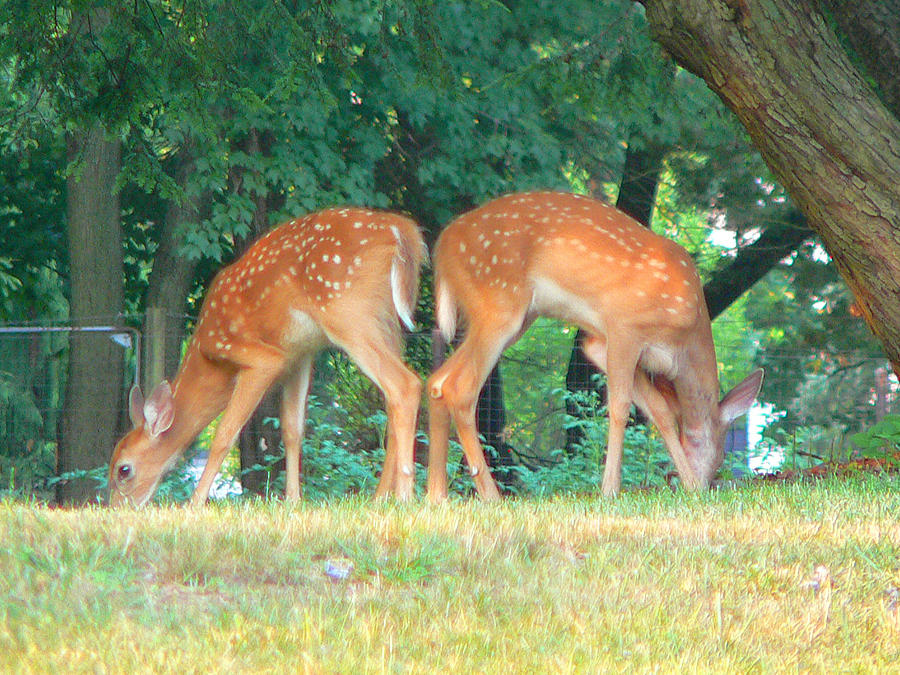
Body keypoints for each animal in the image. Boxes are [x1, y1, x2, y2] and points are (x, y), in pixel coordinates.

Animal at [108, 209, 426, 504]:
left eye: (124, 470)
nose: (118, 507)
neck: (209, 356)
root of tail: (401, 230)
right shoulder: (300, 355)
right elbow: (292, 430)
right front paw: (293, 500)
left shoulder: (261, 357)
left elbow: (225, 433)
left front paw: (195, 502)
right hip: (387, 323)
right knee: (390, 397)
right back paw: (380, 497)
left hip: (347, 312)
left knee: (405, 384)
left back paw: (404, 497)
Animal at [426, 191, 764, 502]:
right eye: (721, 453)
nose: (708, 481)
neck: (684, 342)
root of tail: (442, 245)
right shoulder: (625, 327)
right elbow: (620, 407)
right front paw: (610, 489)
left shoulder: (598, 343)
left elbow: (660, 411)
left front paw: (690, 484)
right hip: (499, 303)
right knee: (460, 388)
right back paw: (490, 495)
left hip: (511, 316)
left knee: (438, 382)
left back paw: (437, 495)